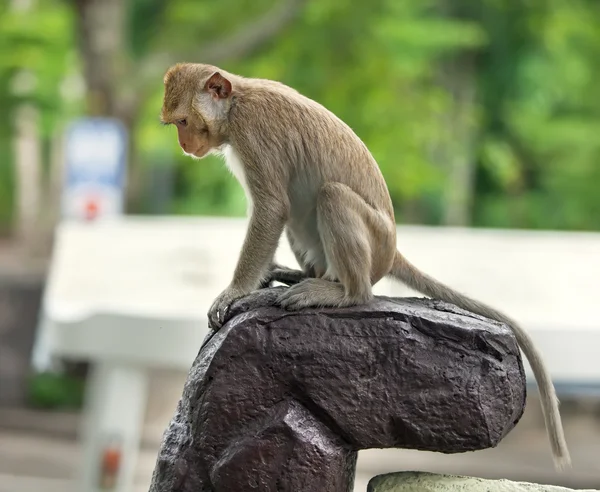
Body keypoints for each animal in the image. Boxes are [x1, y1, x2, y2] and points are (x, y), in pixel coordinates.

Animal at [159, 61, 572, 468]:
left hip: (374, 242)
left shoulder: (253, 133)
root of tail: (393, 248)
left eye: (183, 121)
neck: (235, 104)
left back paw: (343, 293)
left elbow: (272, 209)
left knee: (332, 198)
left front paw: (235, 293)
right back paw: (304, 277)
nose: (184, 146)